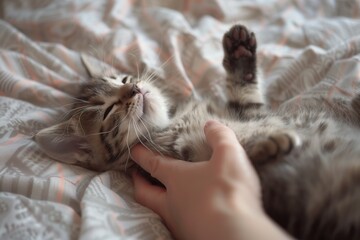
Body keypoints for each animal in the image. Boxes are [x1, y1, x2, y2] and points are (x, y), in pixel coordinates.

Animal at [35, 24, 360, 238]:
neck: (175, 120)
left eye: (124, 79)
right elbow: (240, 146)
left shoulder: (248, 111)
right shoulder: (189, 156)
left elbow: (247, 94)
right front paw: (268, 141)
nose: (136, 88)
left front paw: (241, 52)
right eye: (109, 110)